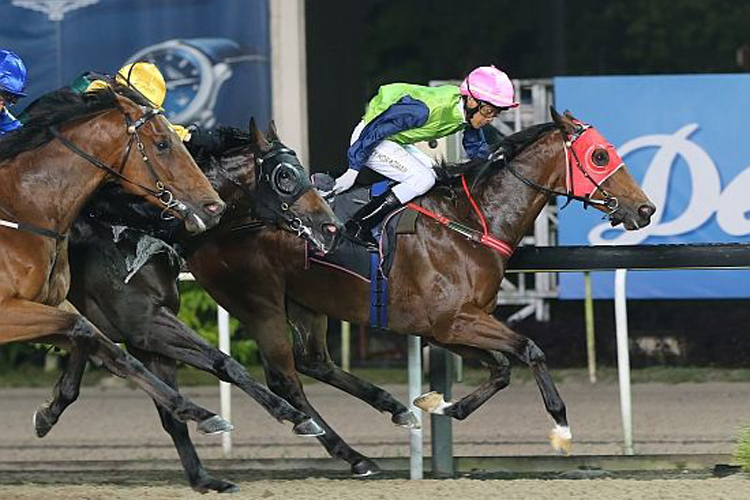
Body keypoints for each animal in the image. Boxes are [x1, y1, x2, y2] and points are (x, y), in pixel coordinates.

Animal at [0, 87, 232, 438]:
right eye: (162, 143)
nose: (214, 206)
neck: (23, 211)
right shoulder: (8, 313)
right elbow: (82, 328)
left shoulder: (49, 305)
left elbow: (109, 349)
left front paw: (200, 412)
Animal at [38, 122, 338, 492]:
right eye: (284, 175)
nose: (331, 226)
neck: (128, 226)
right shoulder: (145, 323)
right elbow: (219, 365)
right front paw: (294, 415)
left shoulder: (144, 337)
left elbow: (185, 395)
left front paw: (204, 476)